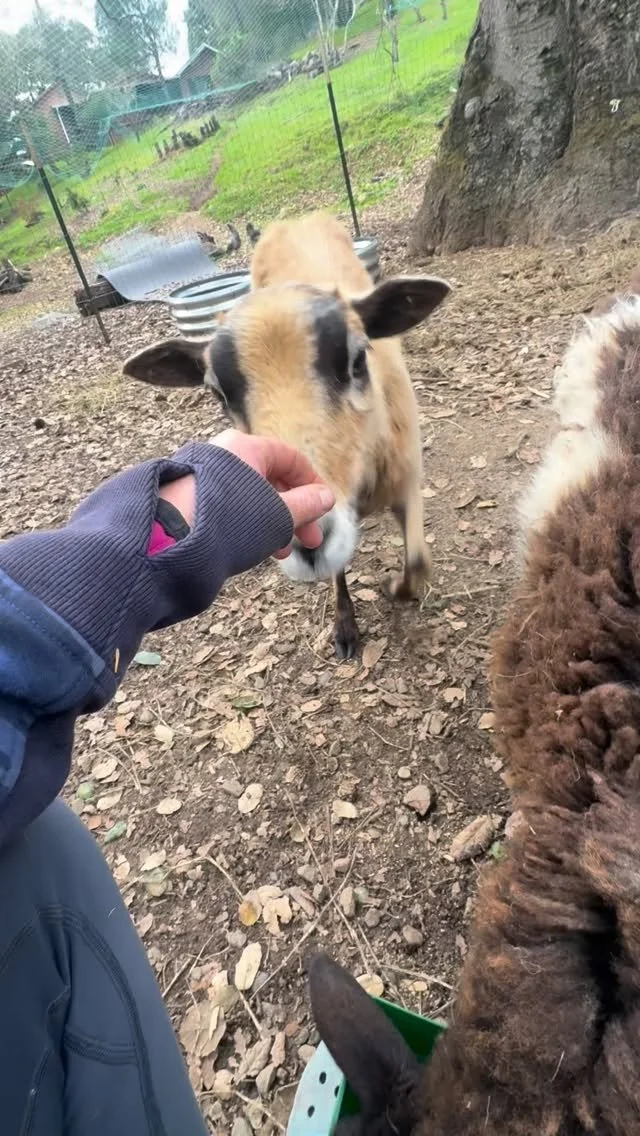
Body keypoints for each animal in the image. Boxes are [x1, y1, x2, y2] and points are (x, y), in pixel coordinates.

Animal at [122, 212, 450, 659]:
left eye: (357, 360)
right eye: (218, 393)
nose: (303, 537)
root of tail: (295, 219)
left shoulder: (408, 476)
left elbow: (417, 564)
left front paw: (392, 586)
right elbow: (340, 570)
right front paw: (345, 628)